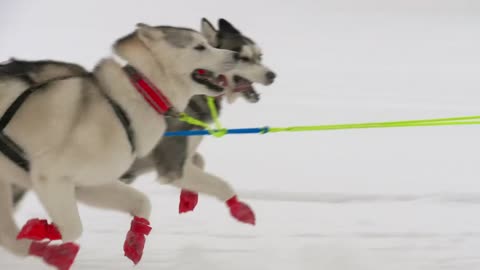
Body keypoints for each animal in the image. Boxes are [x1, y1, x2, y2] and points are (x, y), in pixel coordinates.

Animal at [0, 23, 236, 268]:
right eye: (200, 47)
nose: (235, 55)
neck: (126, 104)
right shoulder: (51, 178)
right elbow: (73, 228)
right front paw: (48, 237)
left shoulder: (85, 185)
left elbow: (142, 202)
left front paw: (135, 241)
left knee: (9, 237)